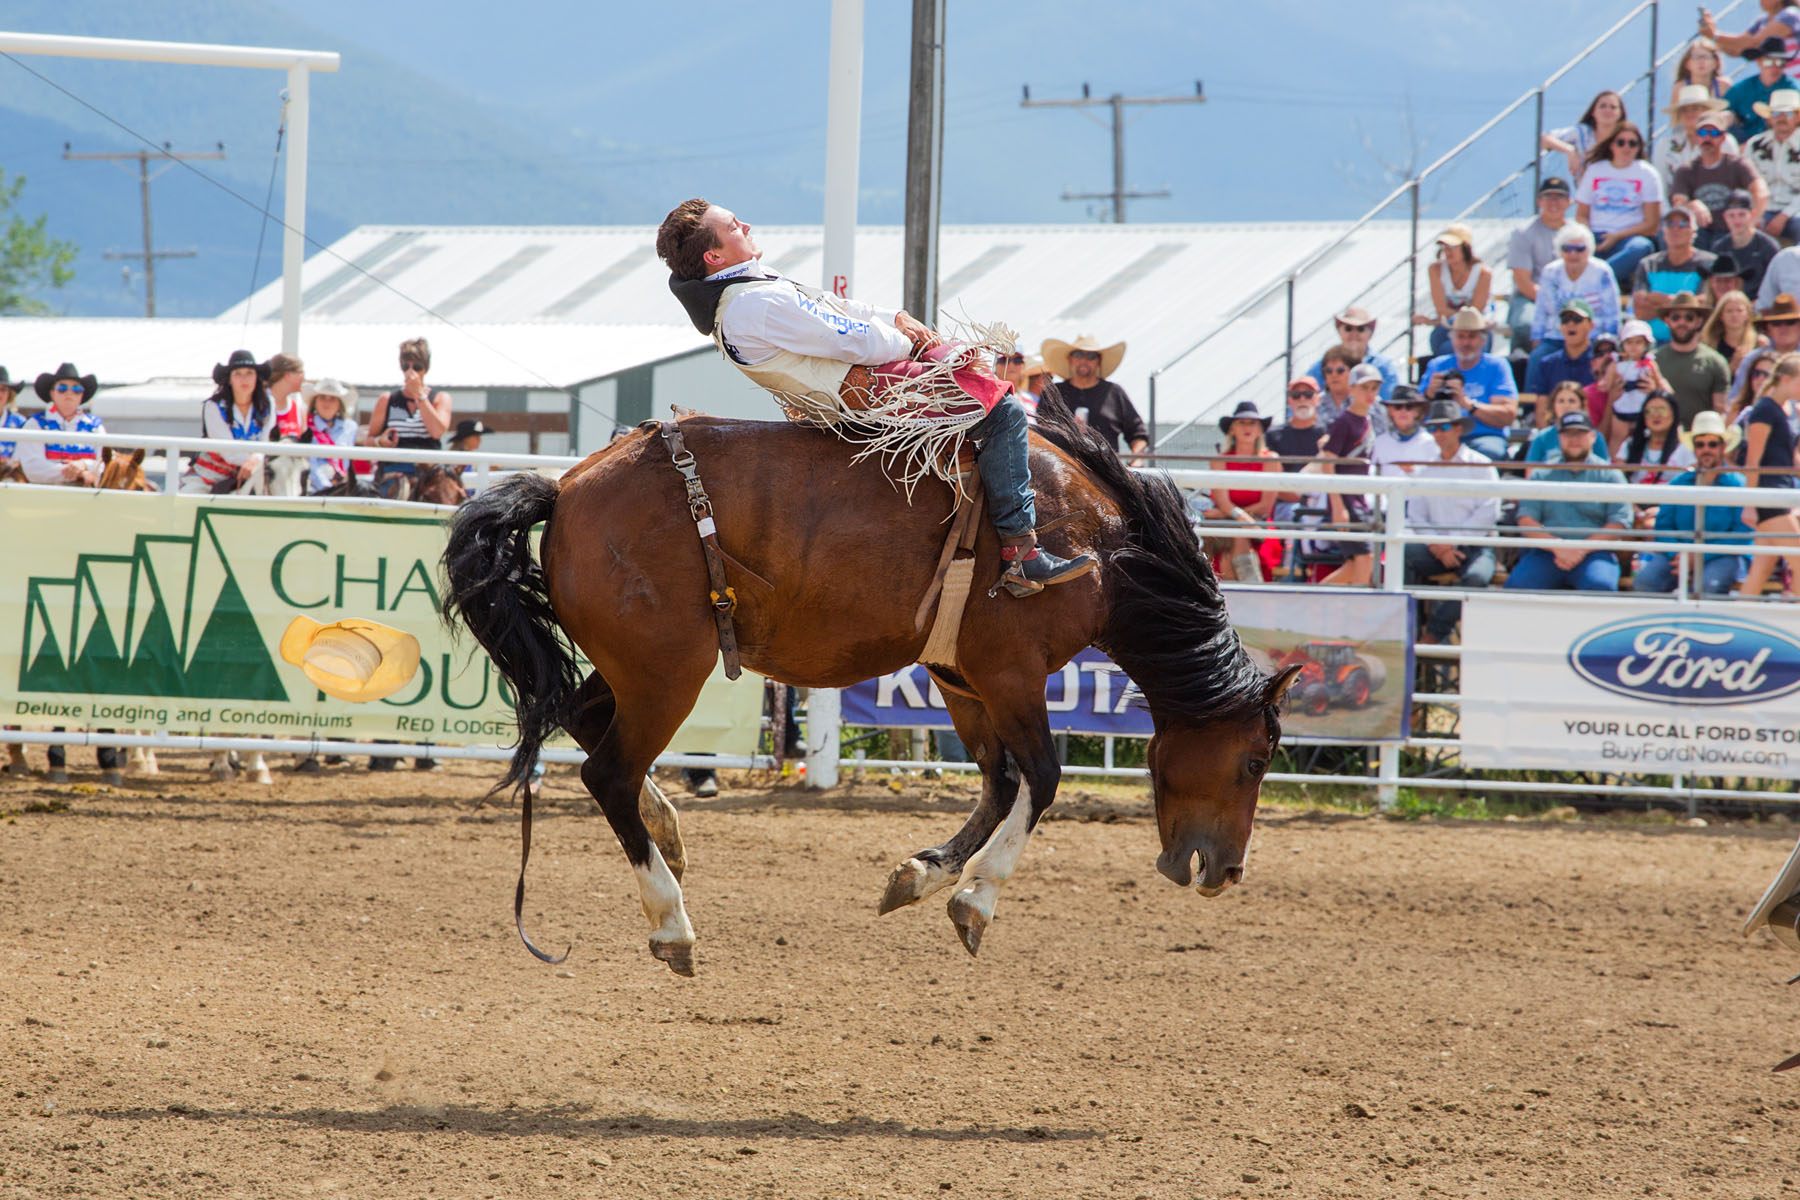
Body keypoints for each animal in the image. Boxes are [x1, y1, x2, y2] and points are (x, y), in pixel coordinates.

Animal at [442, 394, 1303, 978]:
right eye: (1256, 760)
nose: (1226, 872)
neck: (1098, 543)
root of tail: (566, 489)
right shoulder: (1013, 671)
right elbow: (1042, 777)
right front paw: (973, 902)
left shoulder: (962, 677)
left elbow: (998, 781)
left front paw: (918, 875)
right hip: (667, 672)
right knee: (608, 771)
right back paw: (673, 924)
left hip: (634, 667)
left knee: (586, 722)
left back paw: (672, 835)